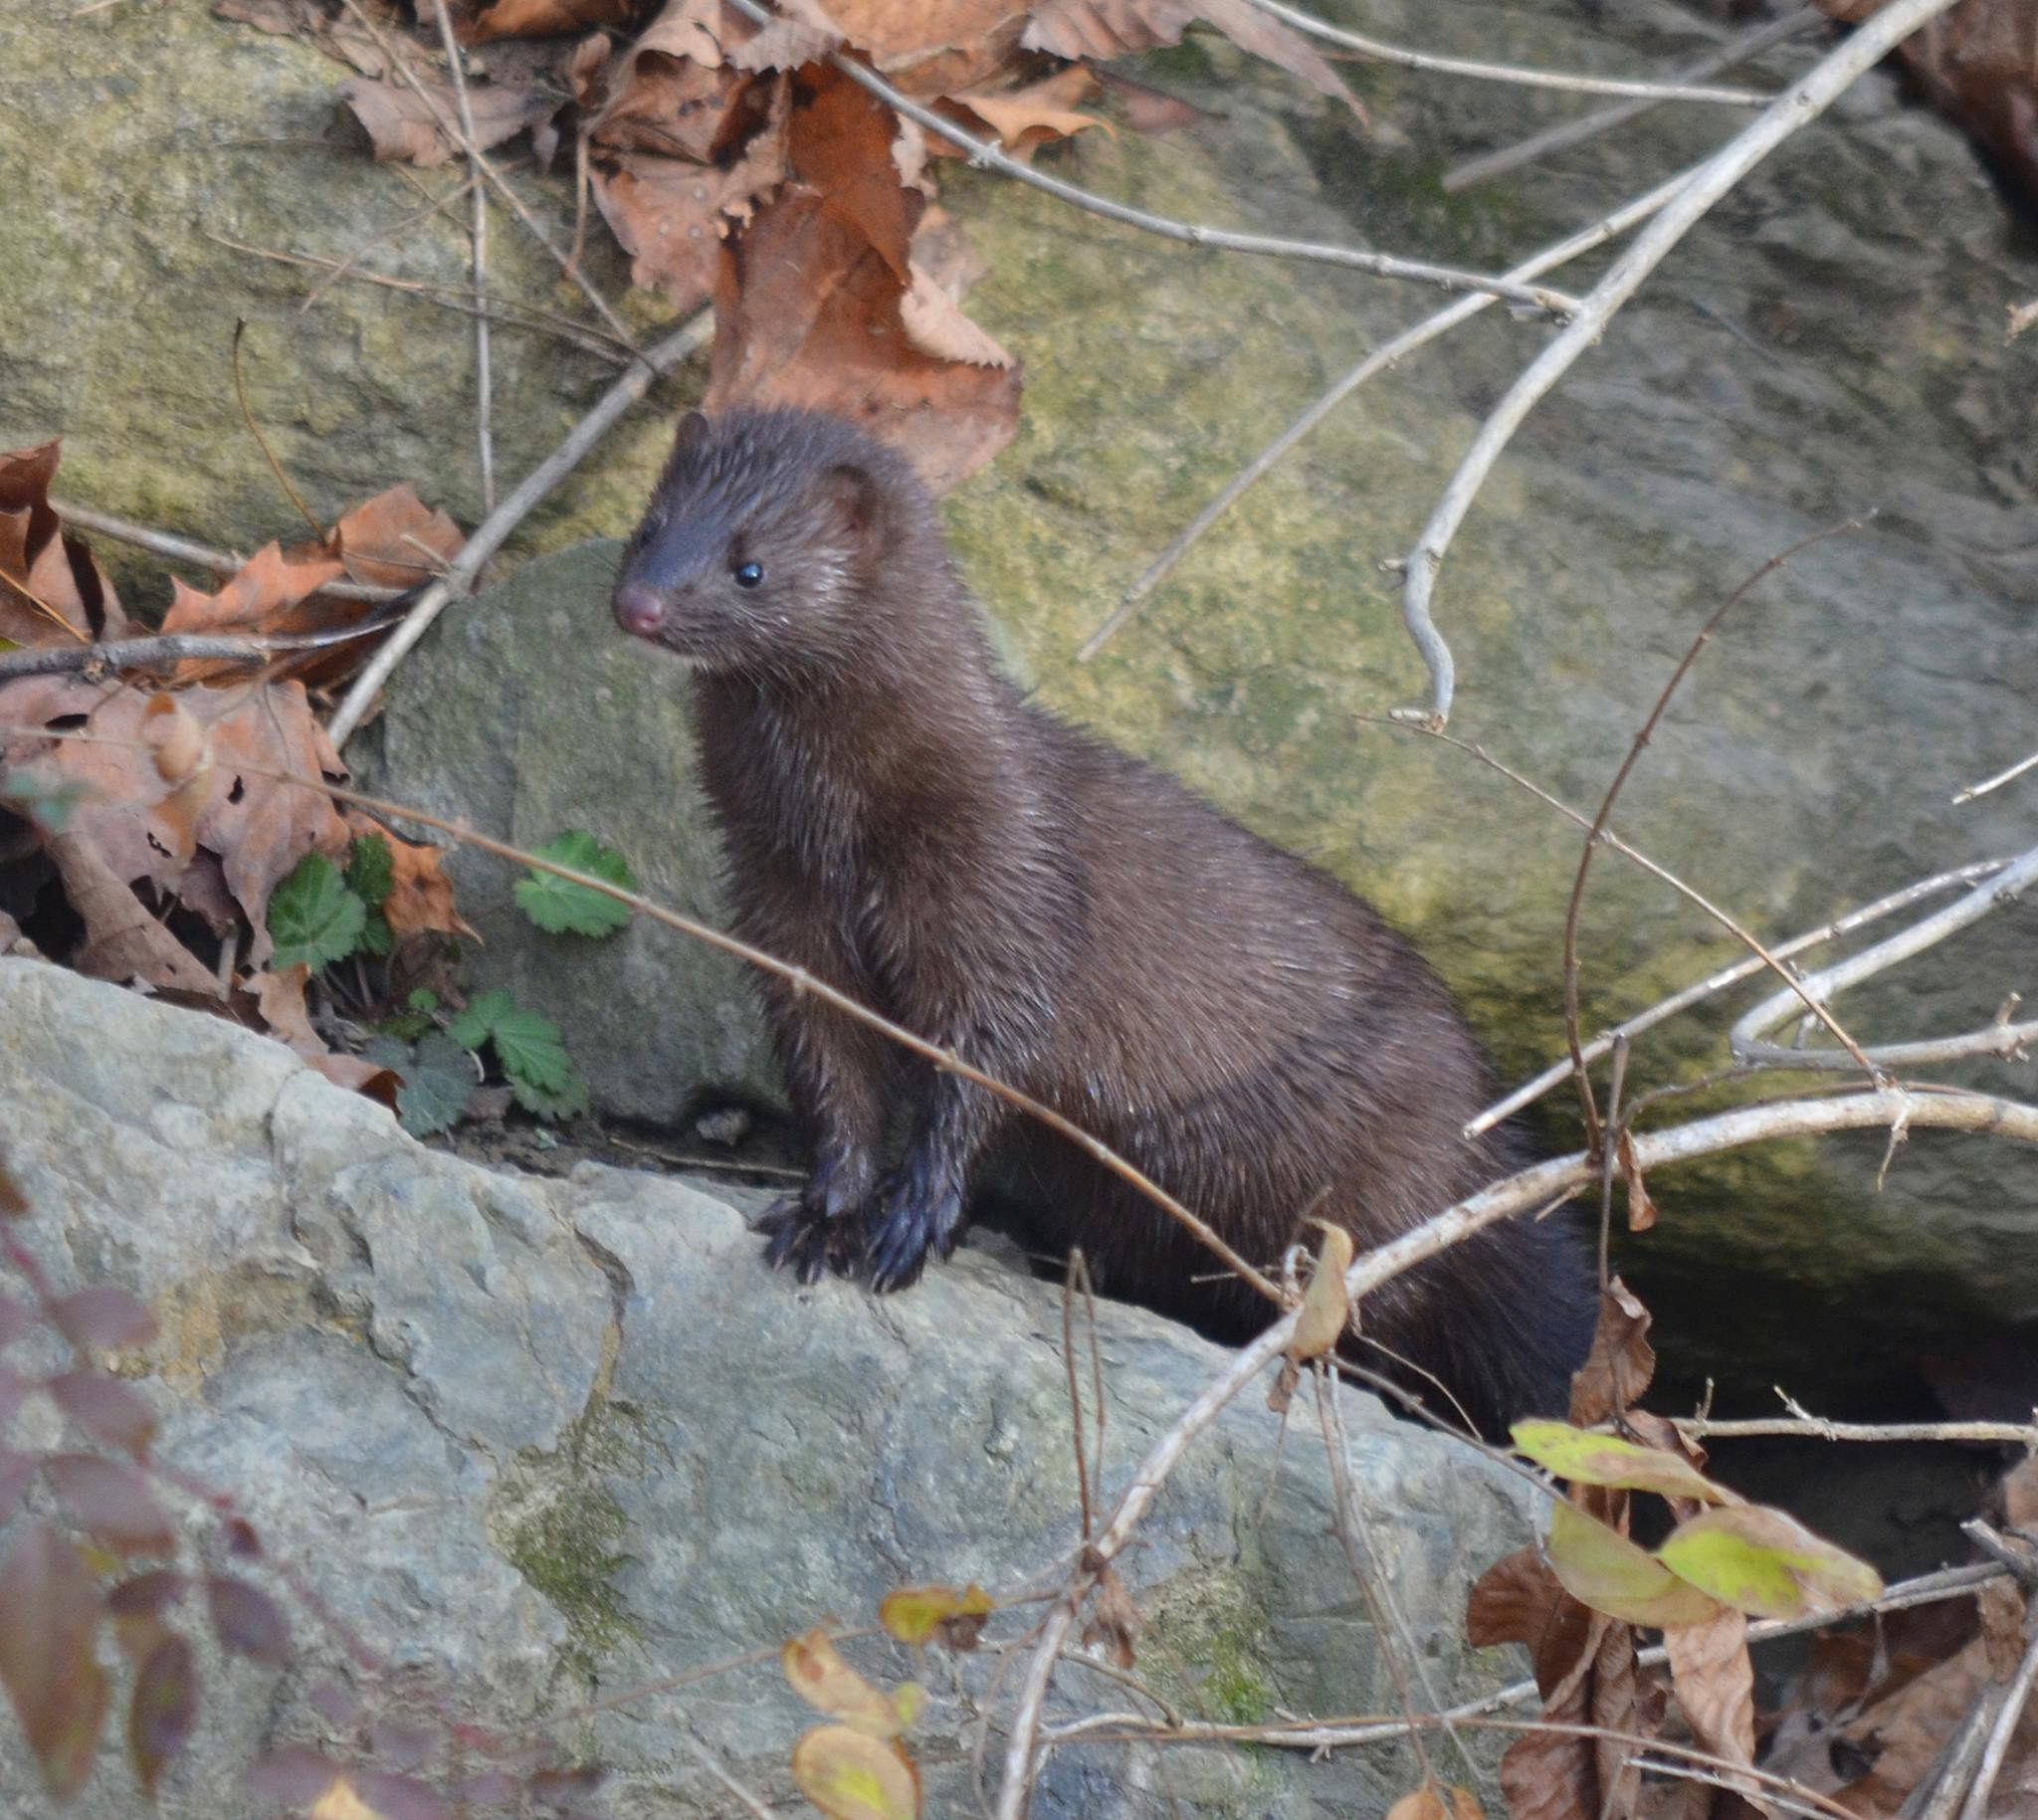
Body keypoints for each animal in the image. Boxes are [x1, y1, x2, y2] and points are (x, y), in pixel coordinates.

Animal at [613, 408, 1591, 1438]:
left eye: (750, 565)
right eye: (646, 527)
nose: (638, 606)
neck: (836, 830)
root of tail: (1479, 1131)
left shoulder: (998, 885)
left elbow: (981, 1062)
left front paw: (914, 1221)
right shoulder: (782, 907)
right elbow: (834, 1071)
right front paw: (824, 1217)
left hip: (1376, 1188)